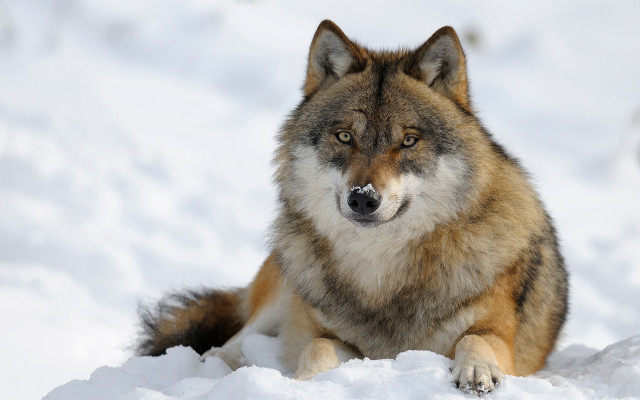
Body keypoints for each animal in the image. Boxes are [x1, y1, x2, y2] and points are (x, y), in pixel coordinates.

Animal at [137, 20, 569, 395]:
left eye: (408, 141)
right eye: (344, 137)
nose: (362, 197)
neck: (380, 272)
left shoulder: (498, 334)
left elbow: (477, 340)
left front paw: (476, 371)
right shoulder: (331, 335)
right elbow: (317, 347)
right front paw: (304, 382)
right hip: (286, 283)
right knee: (230, 341)